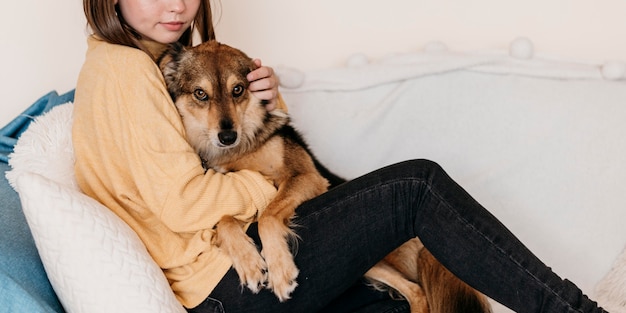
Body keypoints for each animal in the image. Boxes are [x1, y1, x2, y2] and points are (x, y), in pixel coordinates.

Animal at [158, 40, 490, 310]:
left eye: (237, 90)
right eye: (201, 94)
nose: (227, 136)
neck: (240, 150)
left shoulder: (306, 178)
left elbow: (267, 218)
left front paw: (280, 272)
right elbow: (225, 218)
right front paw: (250, 263)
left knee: (418, 290)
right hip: (368, 262)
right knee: (415, 291)